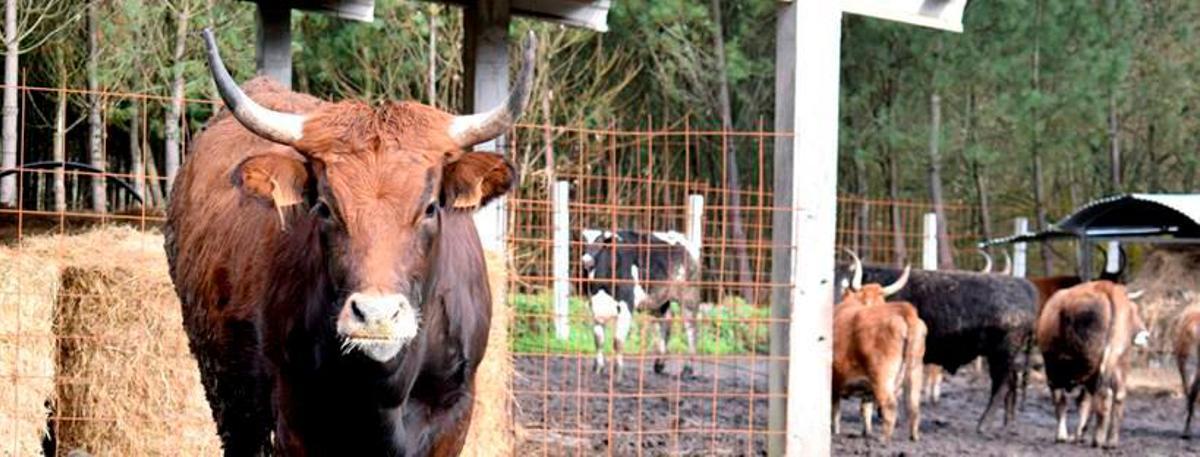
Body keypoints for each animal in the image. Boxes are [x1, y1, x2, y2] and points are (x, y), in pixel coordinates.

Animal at [163, 29, 535, 456]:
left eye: (429, 207)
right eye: (325, 207)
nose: (376, 316)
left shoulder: (454, 414)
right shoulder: (293, 420)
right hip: (229, 398)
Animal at [579, 228, 701, 378]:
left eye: (601, 243)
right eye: (586, 245)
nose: (586, 261)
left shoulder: (626, 305)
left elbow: (617, 341)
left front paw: (618, 373)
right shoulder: (595, 306)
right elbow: (598, 339)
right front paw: (598, 369)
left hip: (689, 296)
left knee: (691, 329)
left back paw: (688, 369)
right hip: (657, 300)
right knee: (666, 322)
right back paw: (659, 363)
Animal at [832, 251, 926, 442]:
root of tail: (906, 312)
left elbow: (835, 411)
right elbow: (865, 409)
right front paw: (866, 432)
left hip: (882, 375)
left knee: (889, 406)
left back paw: (884, 440)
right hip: (915, 371)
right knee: (913, 406)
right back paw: (913, 437)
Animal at [837, 260, 1038, 432]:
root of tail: (1024, 285)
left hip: (1002, 355)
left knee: (1000, 386)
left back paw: (983, 424)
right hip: (1007, 356)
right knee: (1011, 383)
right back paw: (1007, 422)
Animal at [1036, 281, 1149, 447]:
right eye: (1134, 310)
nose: (1145, 334)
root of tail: (1107, 287)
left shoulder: (1053, 371)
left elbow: (1062, 402)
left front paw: (1062, 436)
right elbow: (1083, 403)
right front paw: (1078, 435)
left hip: (1092, 363)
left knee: (1103, 394)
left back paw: (1098, 439)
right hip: (1117, 360)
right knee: (1118, 395)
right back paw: (1111, 441)